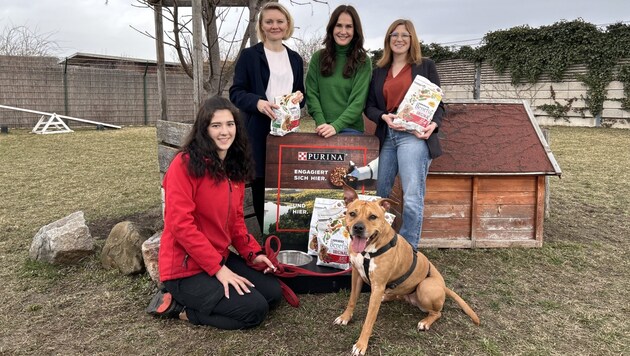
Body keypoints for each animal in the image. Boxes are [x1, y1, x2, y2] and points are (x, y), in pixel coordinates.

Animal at [336, 185, 478, 354]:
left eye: (373, 217)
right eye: (352, 213)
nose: (358, 227)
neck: (368, 251)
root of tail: (444, 287)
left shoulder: (378, 286)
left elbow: (369, 321)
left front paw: (361, 345)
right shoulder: (357, 275)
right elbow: (352, 299)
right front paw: (345, 317)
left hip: (426, 287)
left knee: (437, 312)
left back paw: (425, 322)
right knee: (398, 295)